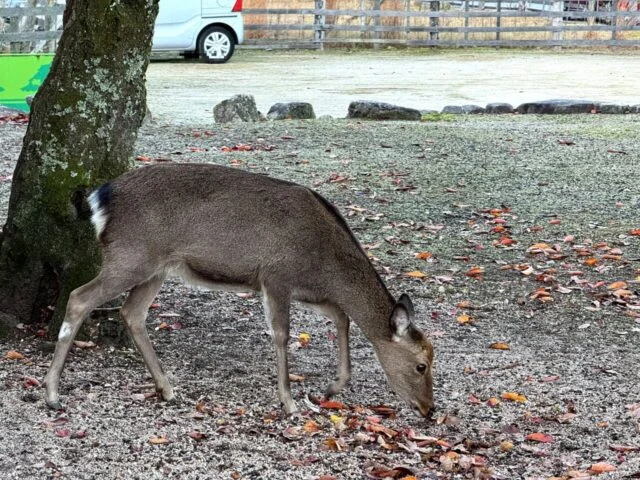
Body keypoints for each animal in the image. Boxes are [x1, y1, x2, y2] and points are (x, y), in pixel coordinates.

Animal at [43, 163, 435, 417]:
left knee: (132, 312)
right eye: (421, 365)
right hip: (130, 256)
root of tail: (98, 197)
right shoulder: (276, 276)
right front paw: (289, 402)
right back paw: (52, 393)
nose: (430, 410)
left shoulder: (309, 289)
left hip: (156, 267)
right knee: (79, 298)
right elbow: (282, 334)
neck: (324, 262)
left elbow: (342, 316)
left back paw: (167, 389)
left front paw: (332, 388)